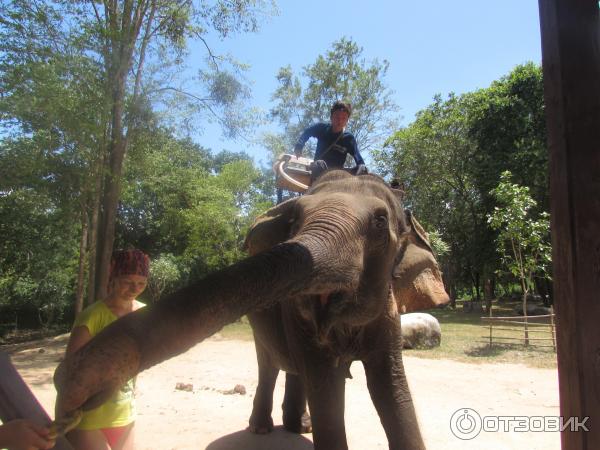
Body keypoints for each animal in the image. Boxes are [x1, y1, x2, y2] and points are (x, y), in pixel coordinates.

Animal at [54, 170, 448, 450]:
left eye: (380, 222)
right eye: (294, 218)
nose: (70, 384)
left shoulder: (389, 314)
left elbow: (391, 386)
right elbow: (326, 386)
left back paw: (299, 426)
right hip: (260, 323)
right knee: (271, 363)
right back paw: (263, 428)